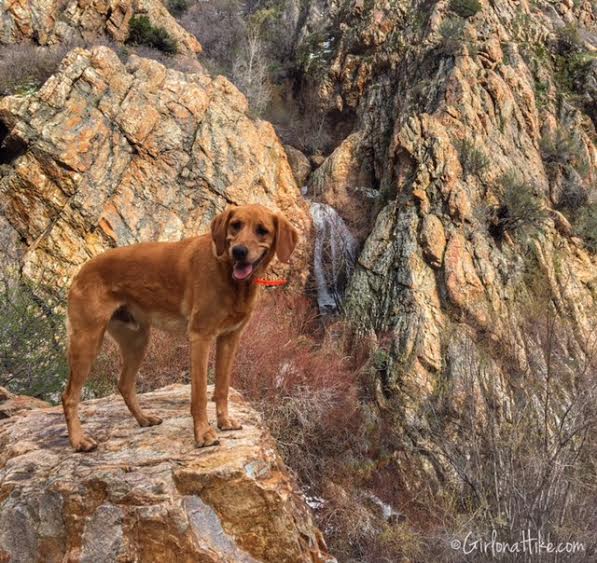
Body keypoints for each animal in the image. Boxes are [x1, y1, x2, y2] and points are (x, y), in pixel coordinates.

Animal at [61, 205, 298, 452]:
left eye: (262, 230)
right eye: (236, 225)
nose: (239, 251)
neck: (229, 275)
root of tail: (82, 269)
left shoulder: (230, 338)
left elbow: (222, 387)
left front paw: (224, 421)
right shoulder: (201, 337)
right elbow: (200, 394)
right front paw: (203, 434)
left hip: (137, 340)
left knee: (124, 384)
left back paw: (143, 419)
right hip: (87, 340)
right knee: (69, 397)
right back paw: (79, 440)